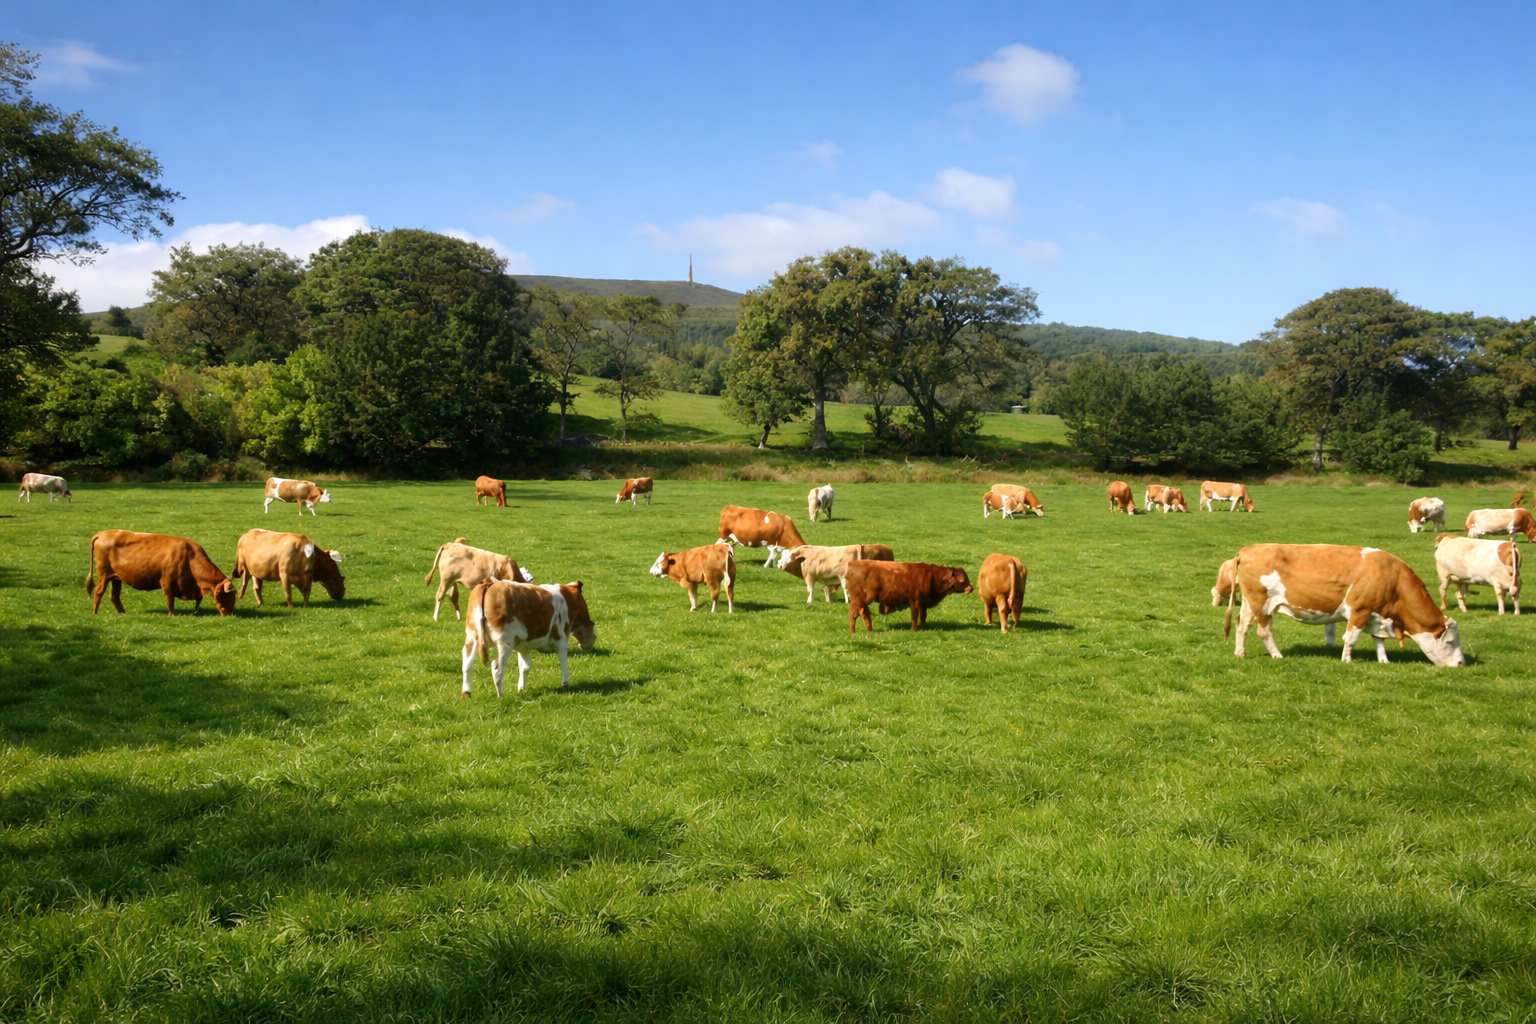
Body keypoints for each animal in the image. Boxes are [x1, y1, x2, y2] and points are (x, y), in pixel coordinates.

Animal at [86, 530, 237, 617]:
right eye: (228, 595)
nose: (230, 613)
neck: (189, 557)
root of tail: (102, 533)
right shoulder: (167, 582)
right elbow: (170, 600)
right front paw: (171, 615)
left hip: (116, 577)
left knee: (114, 596)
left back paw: (123, 613)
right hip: (104, 574)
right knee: (98, 592)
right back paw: (95, 613)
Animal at [462, 579, 596, 696]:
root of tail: (489, 583)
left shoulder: (524, 646)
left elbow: (525, 667)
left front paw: (521, 689)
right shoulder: (561, 637)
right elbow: (564, 662)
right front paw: (565, 684)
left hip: (472, 638)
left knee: (467, 665)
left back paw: (467, 693)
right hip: (504, 643)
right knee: (497, 669)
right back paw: (501, 696)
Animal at [844, 560, 973, 633]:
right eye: (964, 579)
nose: (971, 587)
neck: (932, 577)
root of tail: (852, 563)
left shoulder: (922, 603)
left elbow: (923, 616)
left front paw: (922, 629)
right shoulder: (914, 601)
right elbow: (914, 616)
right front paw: (913, 630)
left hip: (863, 602)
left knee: (865, 614)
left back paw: (870, 630)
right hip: (858, 600)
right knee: (853, 615)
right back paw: (852, 631)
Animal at [1222, 543, 1462, 666]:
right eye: (1450, 642)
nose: (1461, 664)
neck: (1393, 580)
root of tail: (1249, 549)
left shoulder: (1377, 616)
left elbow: (1379, 641)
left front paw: (1384, 661)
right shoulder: (1360, 611)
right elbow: (1352, 638)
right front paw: (1346, 659)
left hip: (1250, 603)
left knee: (1242, 627)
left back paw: (1240, 653)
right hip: (1263, 604)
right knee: (1263, 631)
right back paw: (1277, 655)